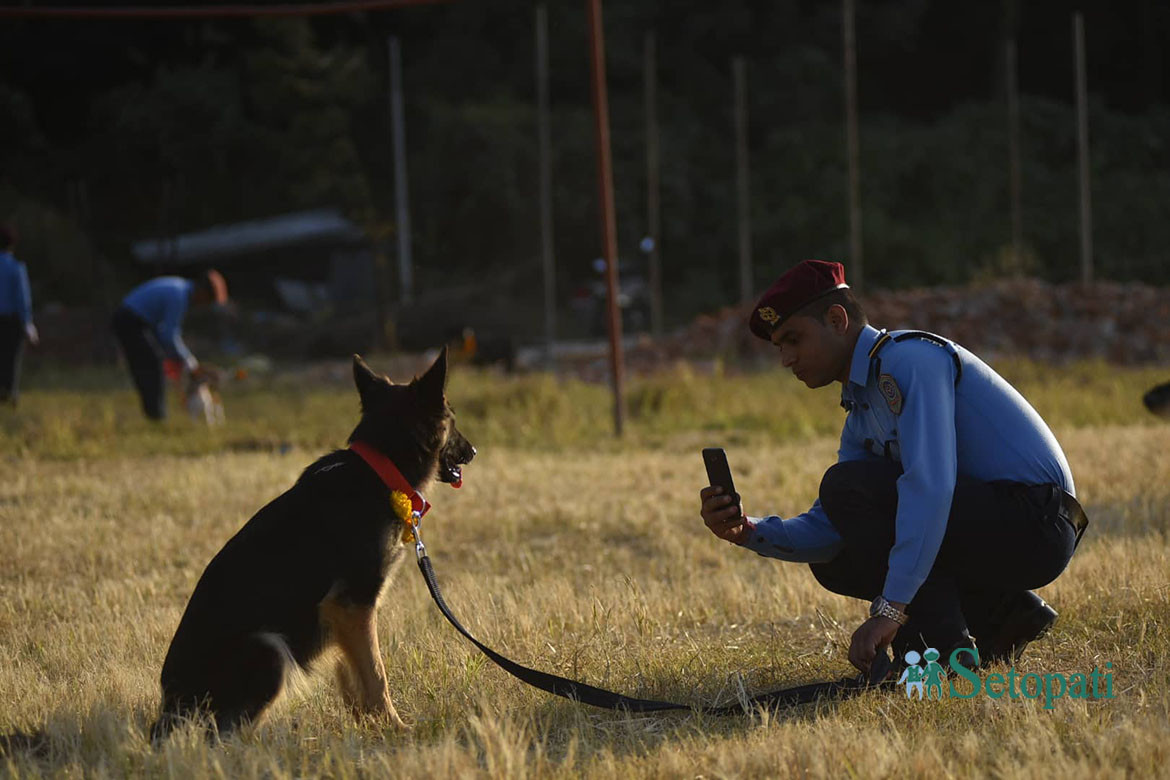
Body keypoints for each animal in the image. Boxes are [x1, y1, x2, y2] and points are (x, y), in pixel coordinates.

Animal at [150, 350, 475, 743]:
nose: (473, 451)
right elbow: (376, 675)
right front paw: (396, 729)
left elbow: (354, 677)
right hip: (269, 648)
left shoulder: (344, 617)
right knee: (224, 734)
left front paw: (368, 727)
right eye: (452, 419)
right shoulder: (353, 604)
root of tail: (169, 709)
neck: (377, 470)